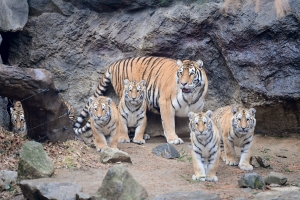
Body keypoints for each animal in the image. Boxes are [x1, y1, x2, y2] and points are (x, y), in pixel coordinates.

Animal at [73, 57, 207, 145]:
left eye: (191, 74)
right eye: (180, 73)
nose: (183, 83)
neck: (190, 96)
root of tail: (115, 62)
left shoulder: (197, 109)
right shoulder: (166, 103)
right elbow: (169, 124)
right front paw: (173, 139)